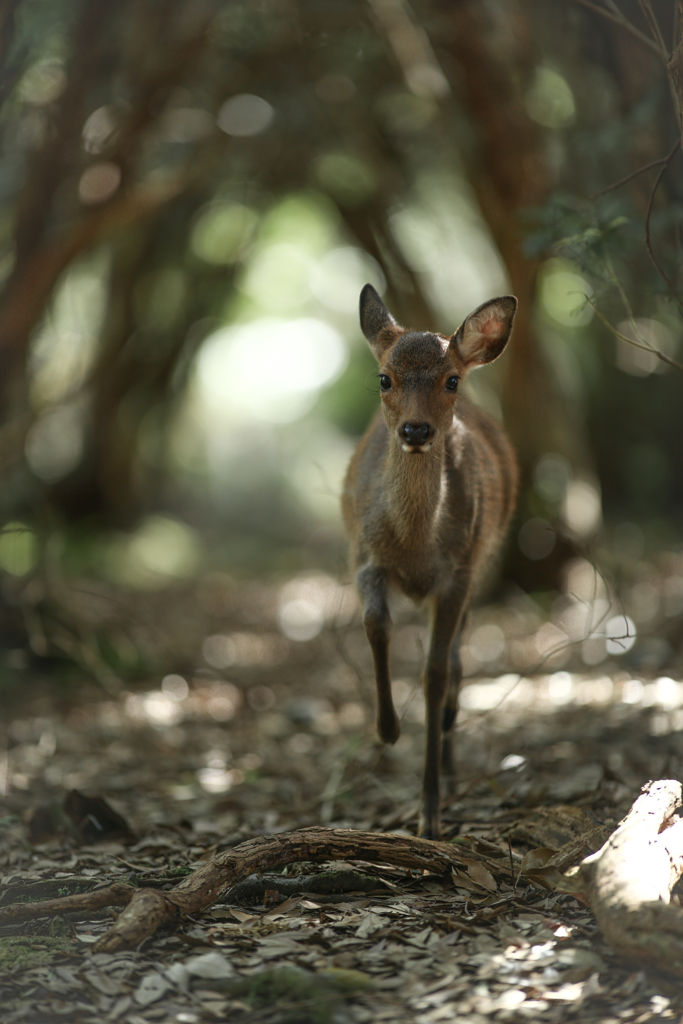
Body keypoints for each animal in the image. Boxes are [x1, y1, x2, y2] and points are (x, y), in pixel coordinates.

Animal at [342, 286, 518, 839]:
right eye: (384, 377)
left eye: (451, 379)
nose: (415, 430)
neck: (416, 546)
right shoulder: (363, 555)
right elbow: (375, 623)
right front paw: (387, 728)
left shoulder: (459, 572)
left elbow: (436, 673)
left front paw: (430, 813)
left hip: (482, 563)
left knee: (459, 661)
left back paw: (450, 754)